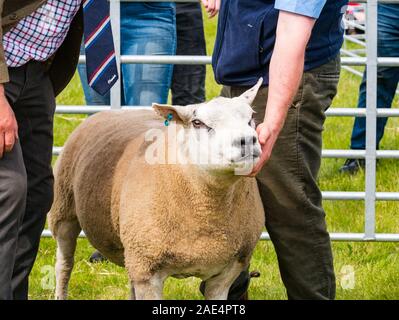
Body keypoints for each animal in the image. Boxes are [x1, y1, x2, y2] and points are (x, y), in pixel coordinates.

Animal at [49, 79, 266, 298]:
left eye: (251, 118)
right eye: (197, 123)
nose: (248, 141)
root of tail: (109, 112)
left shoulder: (225, 275)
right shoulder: (148, 270)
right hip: (63, 209)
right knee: (64, 266)